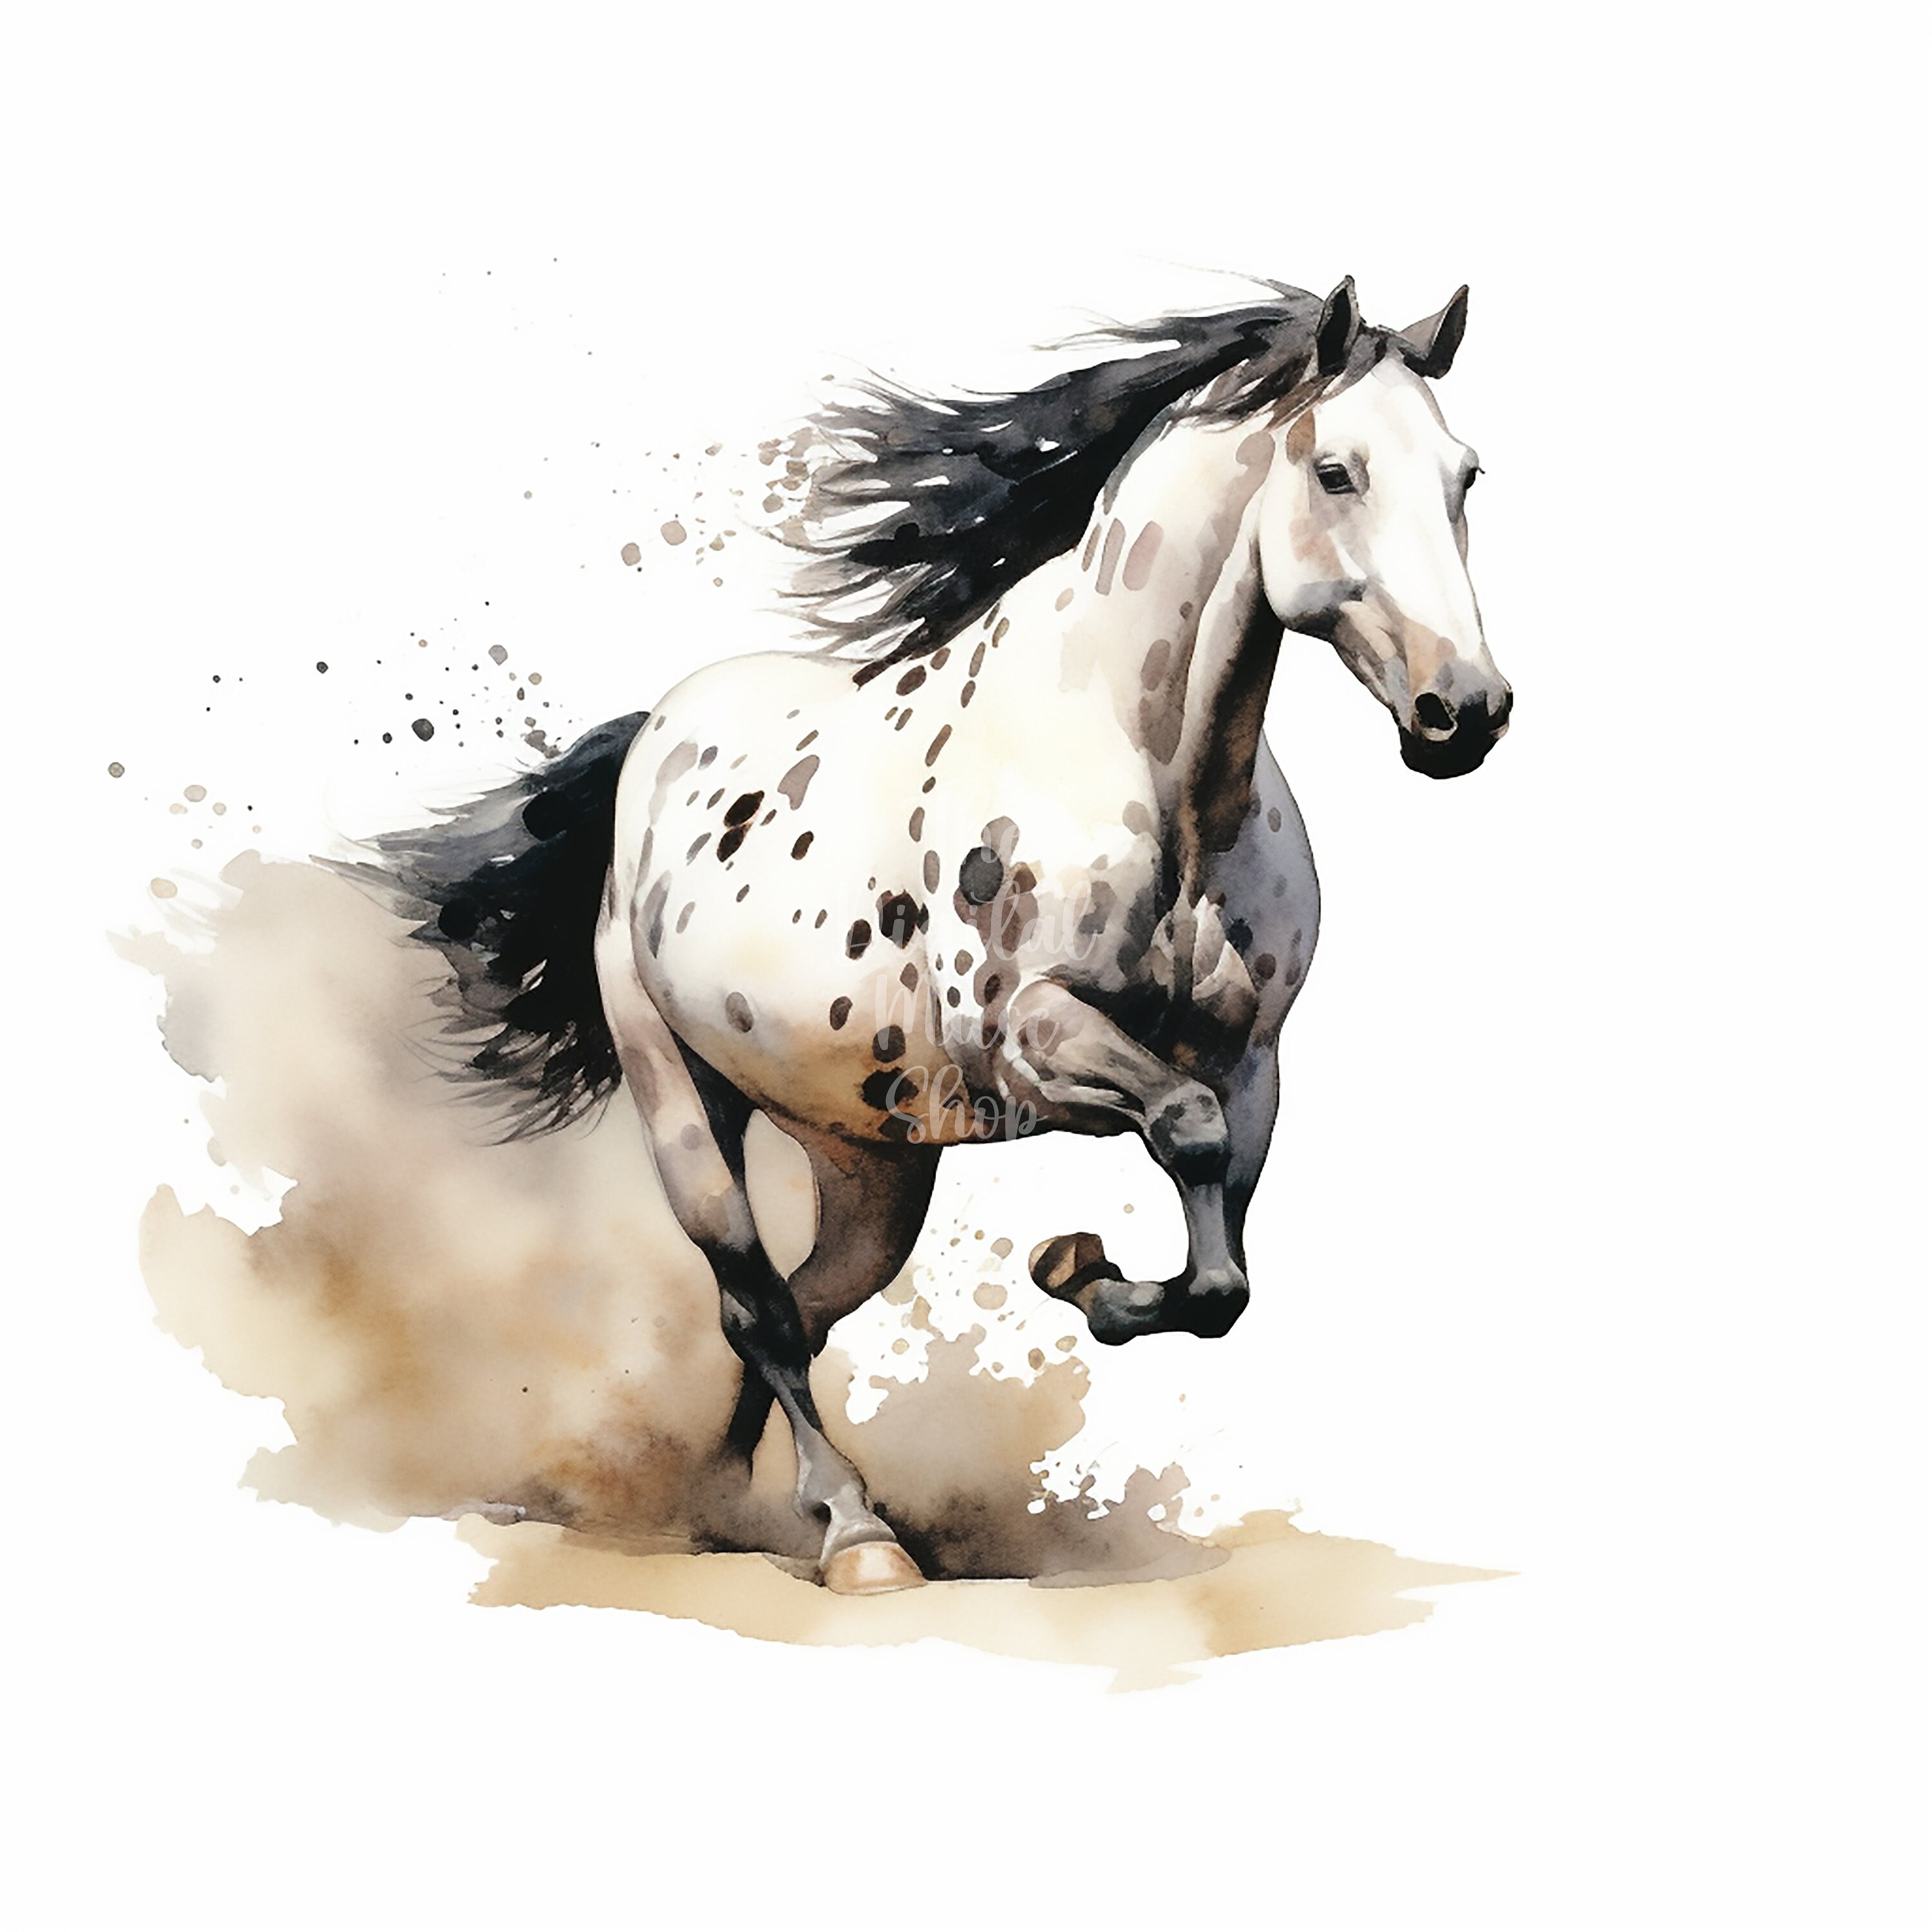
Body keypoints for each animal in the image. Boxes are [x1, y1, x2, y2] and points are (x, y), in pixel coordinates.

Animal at [368, 275, 1512, 1595]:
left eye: (1466, 474)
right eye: (1337, 472)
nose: (1466, 711)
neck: (1146, 769)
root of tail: (657, 735)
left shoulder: (1256, 1063)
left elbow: (1222, 1266)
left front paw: (1086, 1276)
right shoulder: (1029, 1038)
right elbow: (1182, 1129)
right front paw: (1081, 1270)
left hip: (870, 1160)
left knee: (802, 1309)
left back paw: (724, 1505)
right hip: (682, 1104)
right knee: (758, 1307)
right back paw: (856, 1537)